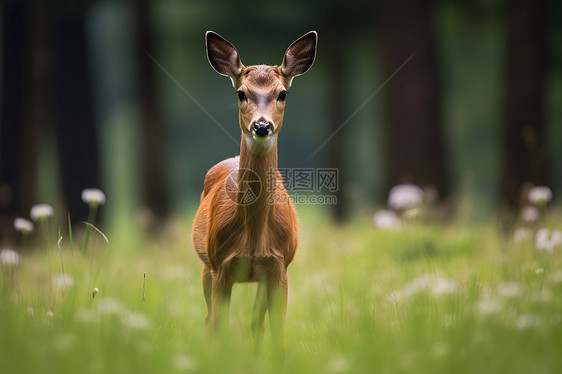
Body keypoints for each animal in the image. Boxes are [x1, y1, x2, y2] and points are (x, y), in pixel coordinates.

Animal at [191, 30, 316, 346]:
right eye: (241, 93)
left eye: (282, 93)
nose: (261, 126)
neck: (254, 239)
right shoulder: (220, 265)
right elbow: (220, 328)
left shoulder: (279, 266)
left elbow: (275, 332)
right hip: (206, 266)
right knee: (208, 320)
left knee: (254, 325)